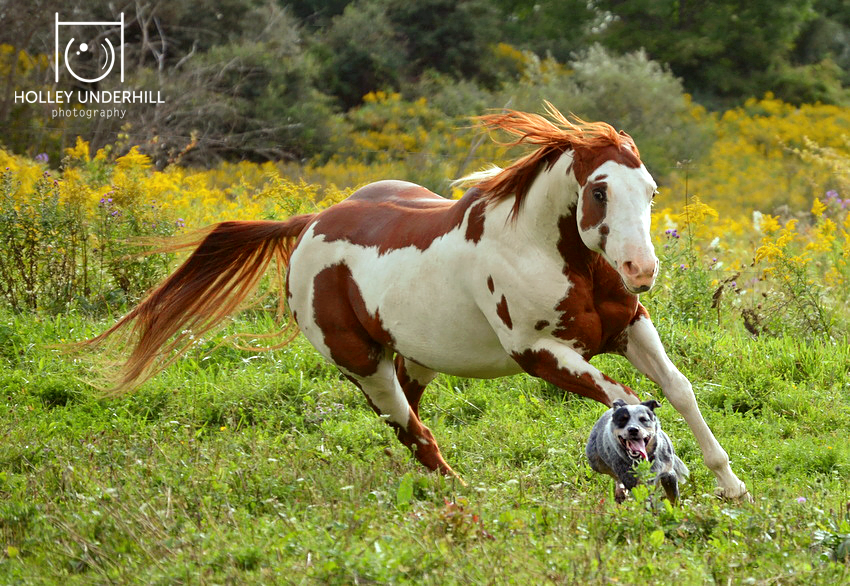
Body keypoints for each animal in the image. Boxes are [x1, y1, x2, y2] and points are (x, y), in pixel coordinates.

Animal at [86, 104, 748, 498]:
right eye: (601, 190)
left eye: (651, 189)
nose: (641, 270)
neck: (551, 252)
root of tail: (310, 224)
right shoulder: (540, 354)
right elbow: (624, 402)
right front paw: (657, 474)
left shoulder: (629, 327)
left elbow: (677, 391)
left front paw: (730, 485)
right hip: (363, 365)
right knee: (410, 428)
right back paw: (460, 492)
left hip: (416, 358)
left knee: (411, 414)